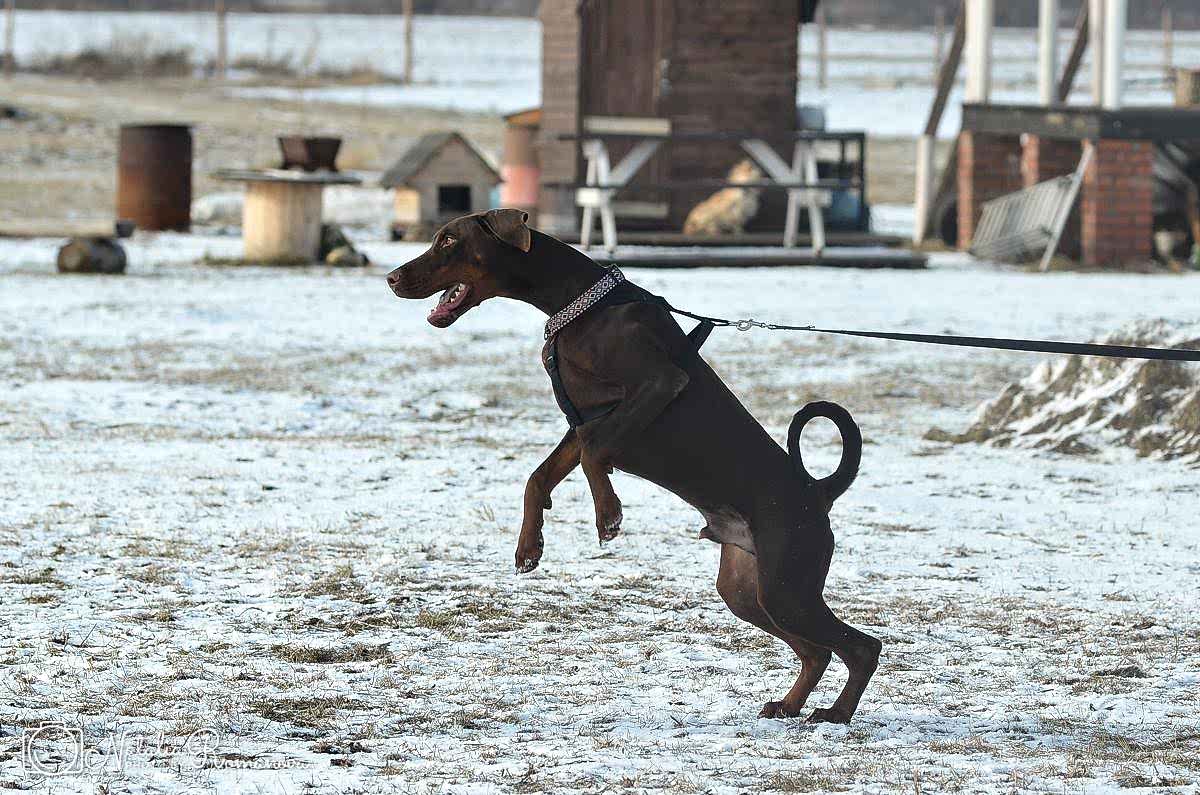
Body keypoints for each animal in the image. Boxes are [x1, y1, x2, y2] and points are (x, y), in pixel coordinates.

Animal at [387, 209, 881, 723]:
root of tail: (817, 493)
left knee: (863, 647)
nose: (391, 278)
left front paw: (608, 516)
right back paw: (788, 705)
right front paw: (529, 547)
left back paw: (836, 714)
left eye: (448, 240)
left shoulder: (657, 384)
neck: (578, 305)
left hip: (788, 584)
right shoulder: (583, 421)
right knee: (816, 650)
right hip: (750, 589)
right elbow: (539, 476)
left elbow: (593, 457)